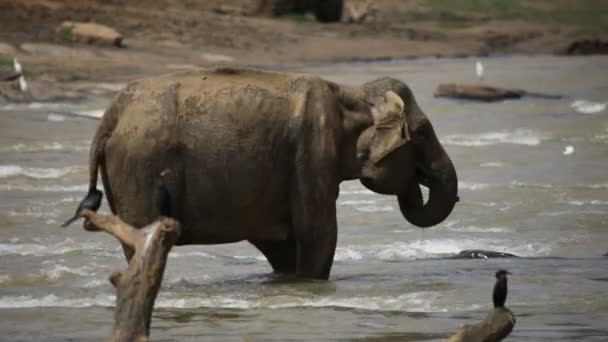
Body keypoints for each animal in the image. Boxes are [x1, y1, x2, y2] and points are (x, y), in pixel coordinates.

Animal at [82, 67, 460, 280]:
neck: (349, 92)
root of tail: (111, 115)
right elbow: (318, 235)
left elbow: (282, 245)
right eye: (422, 133)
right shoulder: (312, 150)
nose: (417, 181)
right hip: (138, 167)